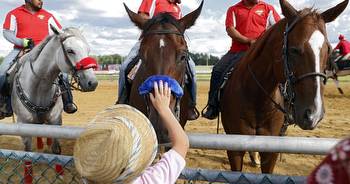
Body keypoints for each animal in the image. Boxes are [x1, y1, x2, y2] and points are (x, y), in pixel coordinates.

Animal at [11, 25, 98, 160]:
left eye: (88, 50)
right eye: (70, 50)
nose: (92, 82)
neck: (39, 87)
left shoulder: (56, 122)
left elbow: (56, 150)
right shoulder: (23, 126)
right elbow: (27, 153)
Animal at [221, 0, 348, 172]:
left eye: (328, 50)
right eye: (294, 49)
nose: (314, 115)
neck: (256, 100)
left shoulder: (270, 151)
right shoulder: (234, 149)